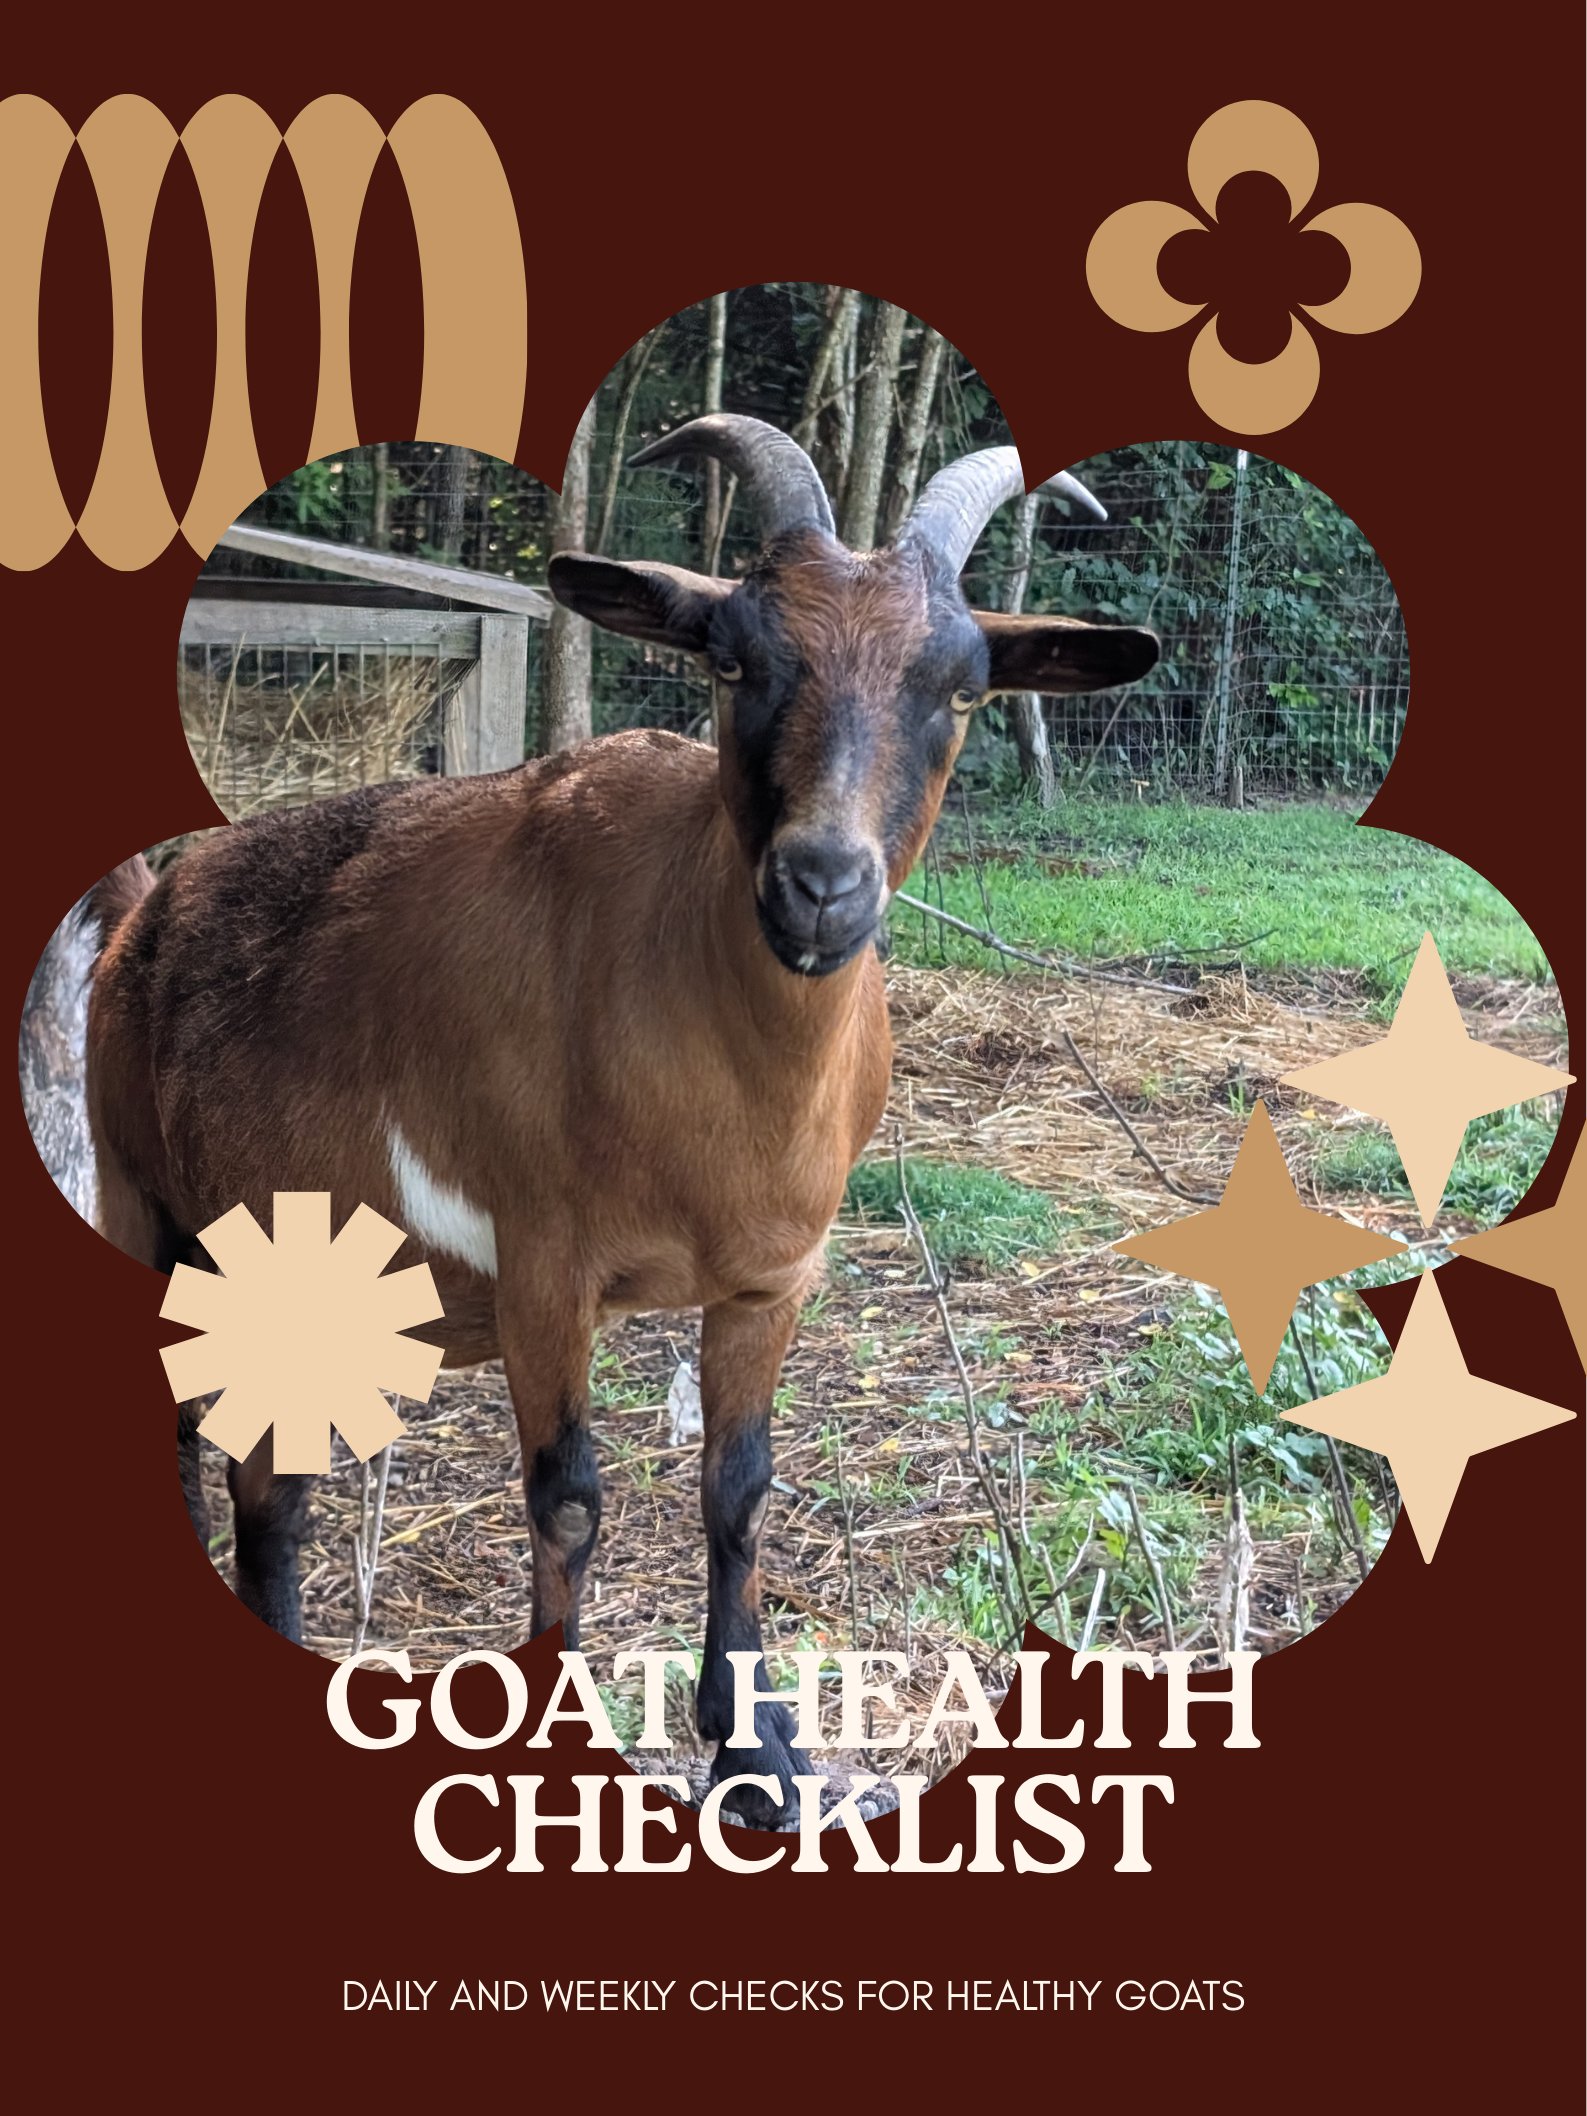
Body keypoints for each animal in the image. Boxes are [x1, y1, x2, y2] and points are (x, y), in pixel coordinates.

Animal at [86, 417, 1158, 1821]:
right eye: (732, 656)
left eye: (966, 685)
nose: (822, 885)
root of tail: (150, 914)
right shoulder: (544, 1268)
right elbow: (569, 1500)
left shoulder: (772, 1280)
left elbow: (738, 1494)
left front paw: (755, 1754)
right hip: (149, 1210)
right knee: (230, 1466)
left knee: (258, 1473)